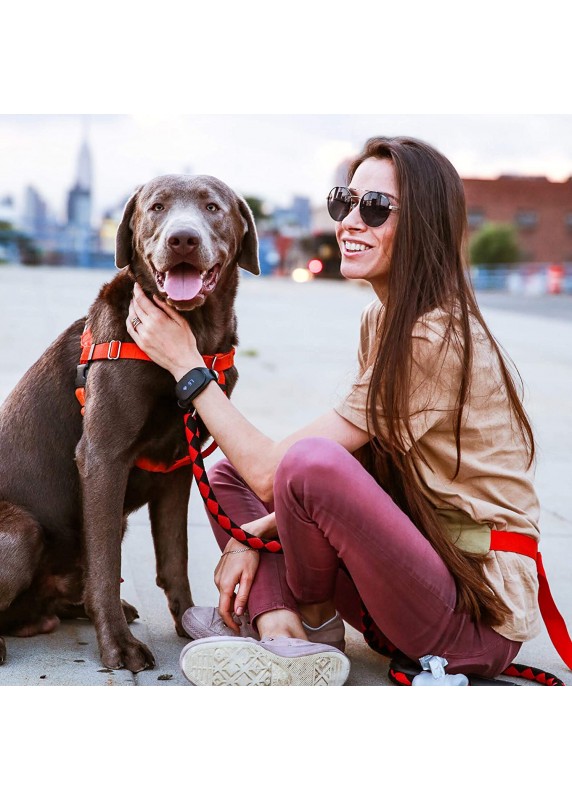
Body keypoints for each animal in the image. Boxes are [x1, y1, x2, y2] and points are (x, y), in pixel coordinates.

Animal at [0, 174, 259, 672]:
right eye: (156, 207)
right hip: (20, 530)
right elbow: (106, 566)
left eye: (212, 207)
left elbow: (175, 559)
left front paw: (189, 623)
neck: (193, 340)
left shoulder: (180, 468)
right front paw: (118, 646)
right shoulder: (102, 459)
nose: (182, 239)